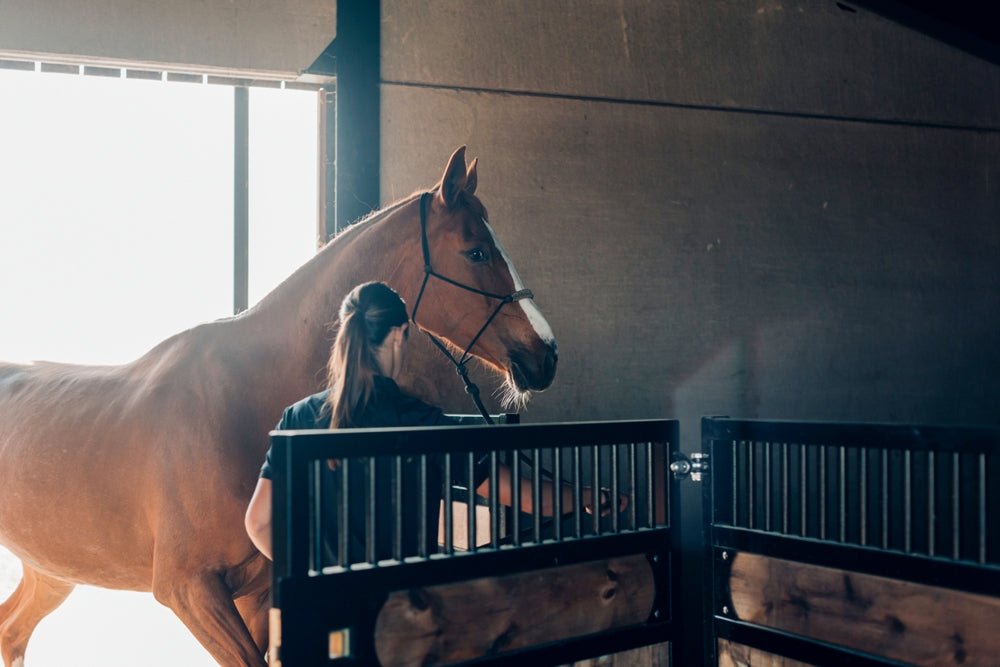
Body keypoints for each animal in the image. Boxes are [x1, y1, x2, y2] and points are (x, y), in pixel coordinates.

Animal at [0, 145, 557, 666]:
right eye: (476, 252)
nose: (546, 353)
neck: (242, 402)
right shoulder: (190, 591)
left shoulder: (257, 595)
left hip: (51, 573)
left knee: (12, 632)